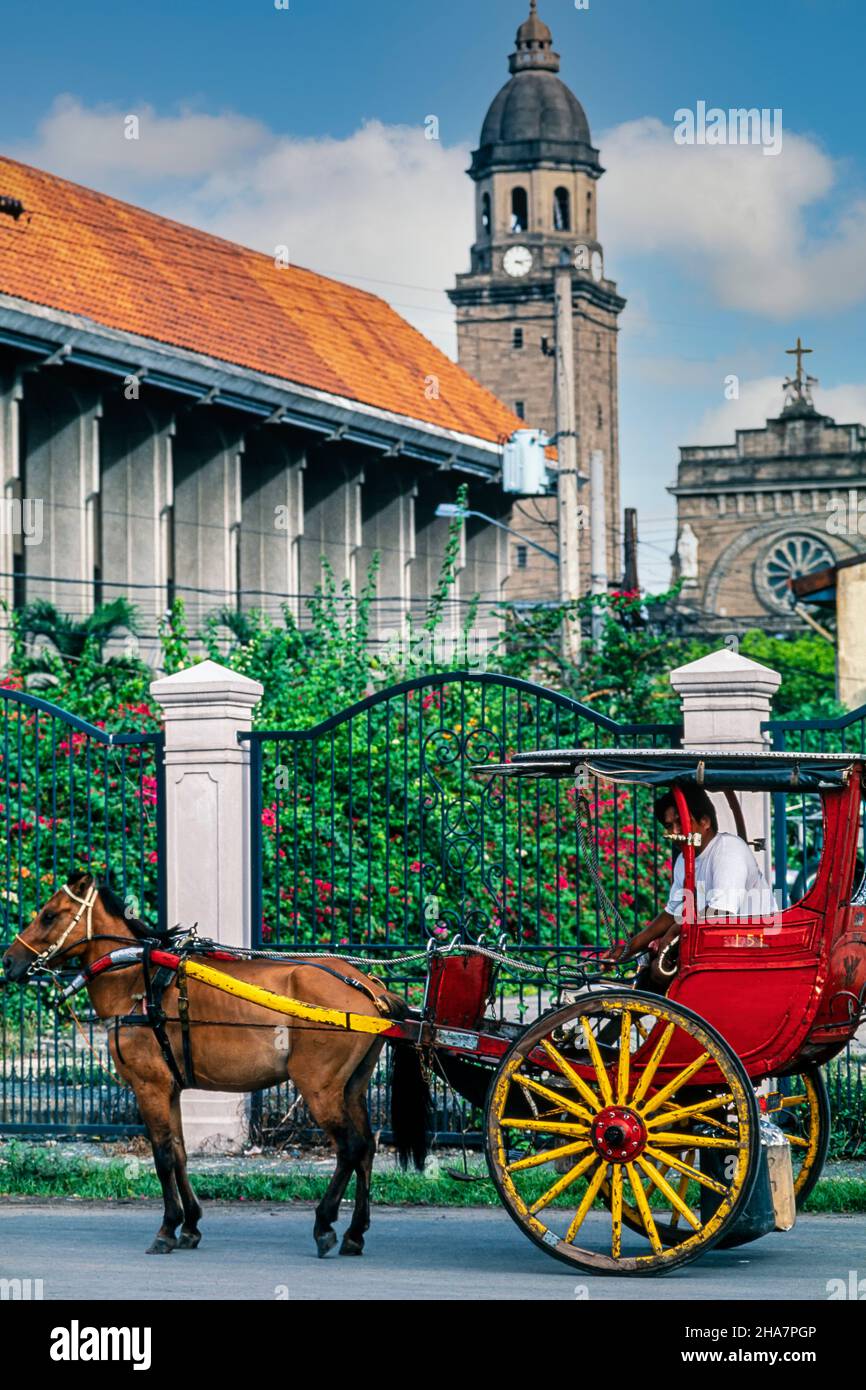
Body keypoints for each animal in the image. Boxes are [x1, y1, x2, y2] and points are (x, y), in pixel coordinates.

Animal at [0, 878, 430, 1262]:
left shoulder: (149, 1086)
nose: (9, 961)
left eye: (49, 915)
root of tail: (369, 986)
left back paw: (325, 1225)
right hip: (351, 1086)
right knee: (366, 1147)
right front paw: (190, 1225)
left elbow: (162, 1156)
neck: (136, 977)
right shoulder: (169, 1087)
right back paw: (355, 1233)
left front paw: (167, 1228)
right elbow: (179, 1151)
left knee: (350, 1147)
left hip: (319, 1087)